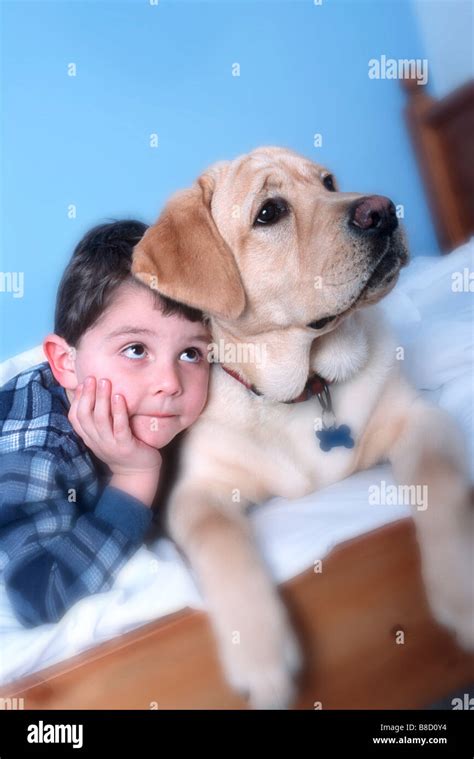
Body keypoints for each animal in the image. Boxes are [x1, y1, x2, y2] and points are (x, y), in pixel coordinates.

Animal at [131, 147, 474, 708]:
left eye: (328, 181)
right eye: (269, 212)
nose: (383, 210)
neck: (307, 386)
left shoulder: (421, 417)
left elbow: (440, 482)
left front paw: (458, 585)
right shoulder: (197, 492)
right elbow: (222, 541)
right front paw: (259, 651)